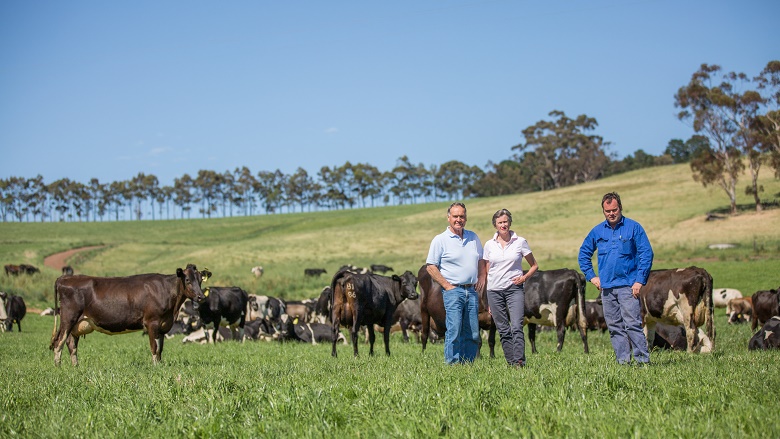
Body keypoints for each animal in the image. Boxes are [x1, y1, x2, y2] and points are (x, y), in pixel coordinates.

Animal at [50, 264, 212, 364]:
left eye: (200, 280)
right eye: (187, 280)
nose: (200, 297)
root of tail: (64, 278)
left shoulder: (163, 325)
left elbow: (160, 348)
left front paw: (160, 365)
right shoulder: (152, 322)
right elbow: (154, 347)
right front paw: (156, 367)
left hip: (77, 324)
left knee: (71, 344)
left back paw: (75, 367)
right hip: (68, 319)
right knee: (58, 343)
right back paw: (58, 368)